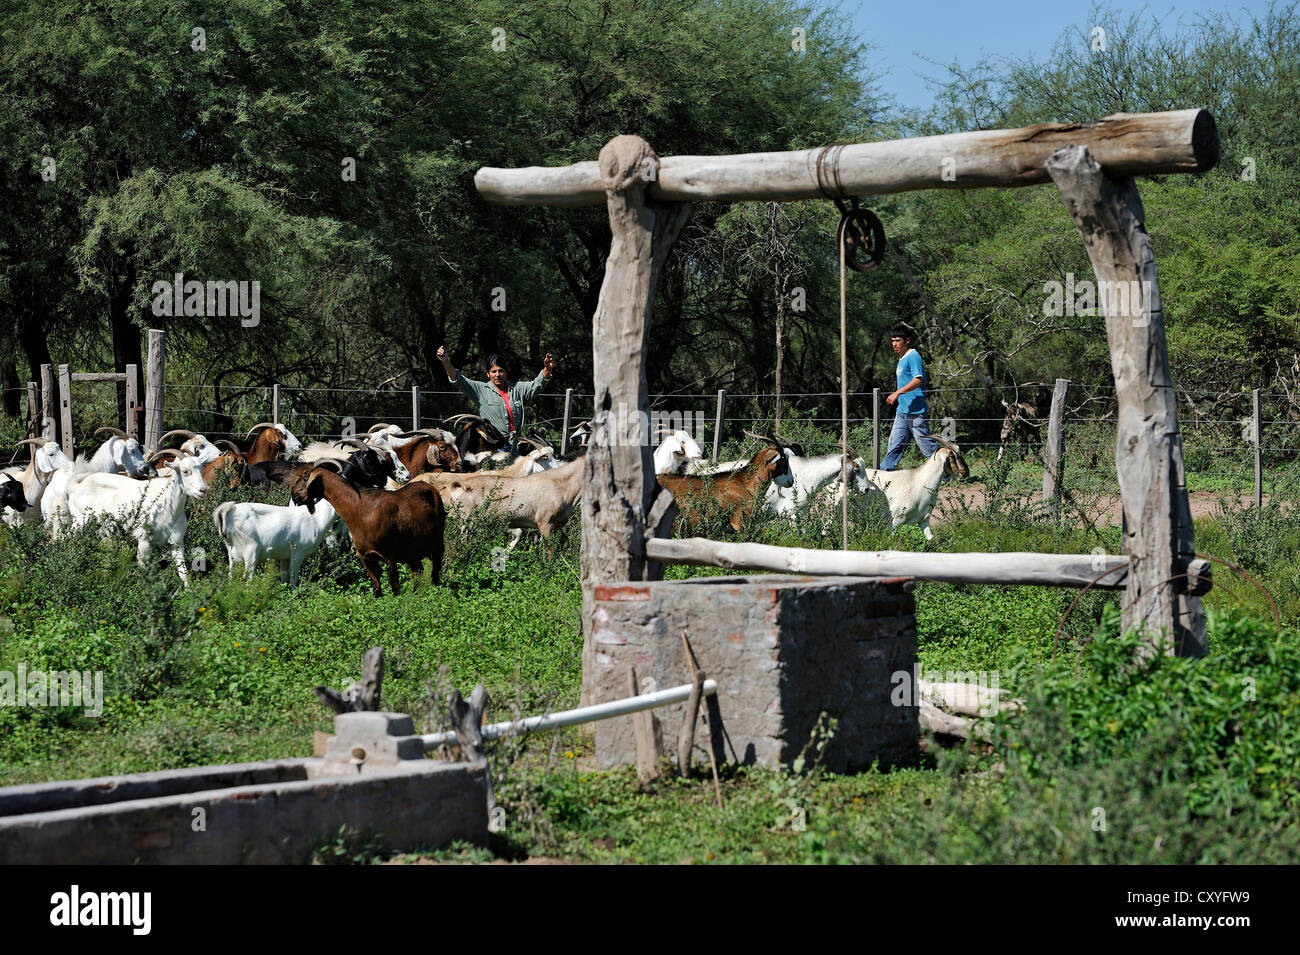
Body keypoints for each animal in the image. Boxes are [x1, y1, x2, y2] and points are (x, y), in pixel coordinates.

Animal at [64, 454, 208, 582]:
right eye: (185, 471)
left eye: (201, 469)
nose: (203, 490)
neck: (167, 506)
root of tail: (75, 486)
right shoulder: (143, 540)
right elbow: (143, 566)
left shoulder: (176, 542)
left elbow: (183, 572)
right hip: (79, 523)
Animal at [291, 465, 447, 595]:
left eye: (306, 477)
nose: (294, 495)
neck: (361, 510)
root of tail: (431, 488)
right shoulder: (365, 557)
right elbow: (376, 587)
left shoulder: (389, 556)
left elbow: (395, 588)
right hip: (412, 550)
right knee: (417, 572)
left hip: (438, 543)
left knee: (435, 571)